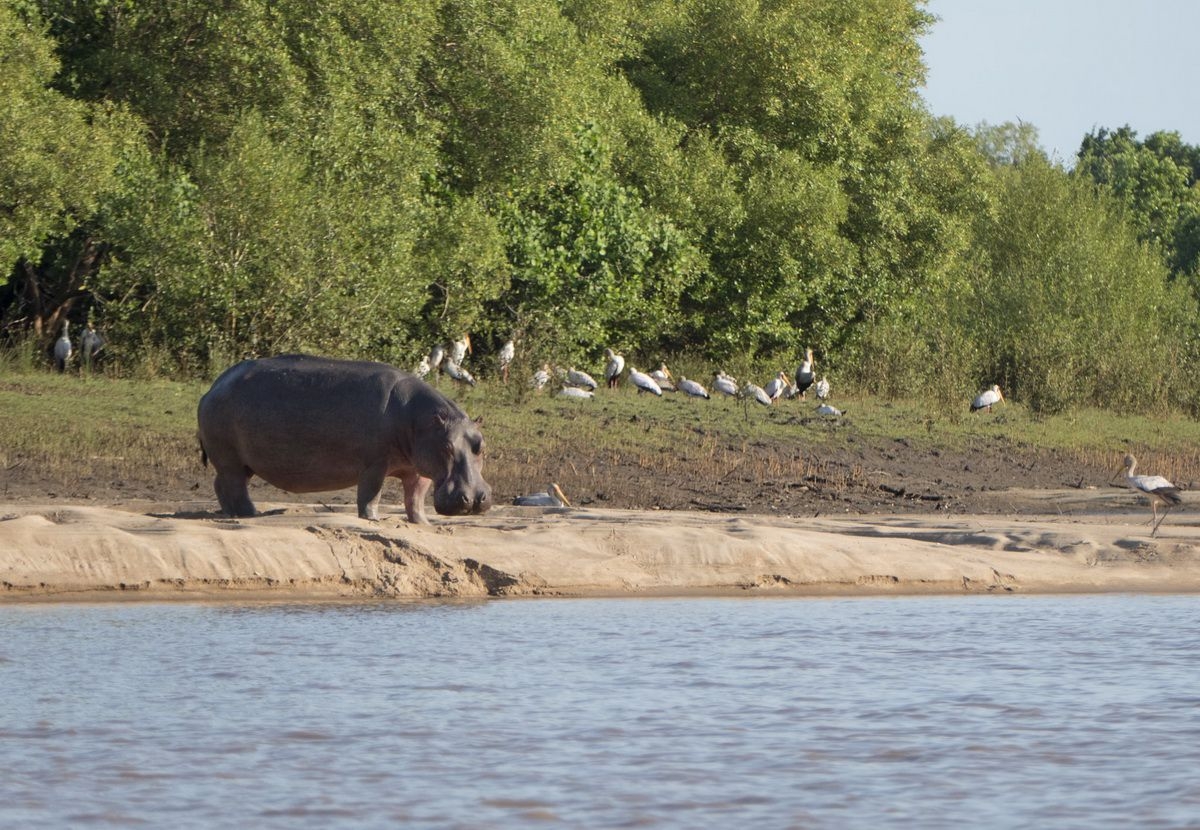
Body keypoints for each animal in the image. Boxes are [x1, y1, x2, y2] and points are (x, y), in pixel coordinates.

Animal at [196, 352, 492, 522]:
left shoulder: (418, 468)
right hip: (230, 459)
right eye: (447, 446)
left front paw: (422, 523)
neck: (421, 420)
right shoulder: (375, 463)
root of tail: (213, 387)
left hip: (241, 463)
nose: (474, 499)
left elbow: (415, 499)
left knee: (221, 485)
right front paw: (372, 520)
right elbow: (371, 494)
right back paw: (250, 514)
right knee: (235, 487)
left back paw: (232, 513)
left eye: (481, 446)